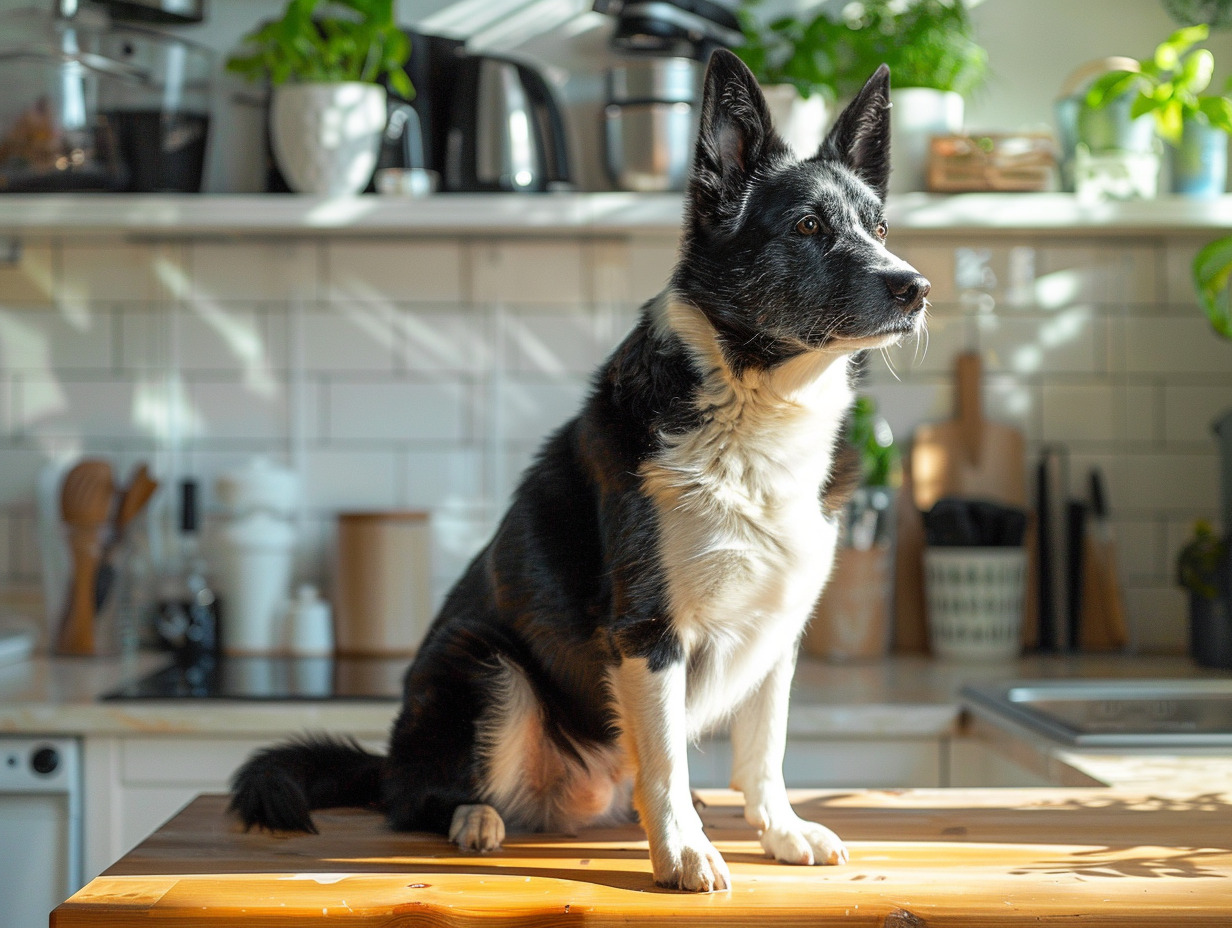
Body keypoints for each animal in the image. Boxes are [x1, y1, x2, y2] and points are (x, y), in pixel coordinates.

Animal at [229, 48, 926, 892]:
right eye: (808, 227)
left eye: (880, 227)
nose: (916, 288)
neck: (754, 398)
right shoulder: (648, 632)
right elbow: (668, 766)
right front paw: (684, 853)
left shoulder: (775, 630)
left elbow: (764, 754)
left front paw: (781, 833)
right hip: (488, 668)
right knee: (413, 798)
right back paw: (473, 818)